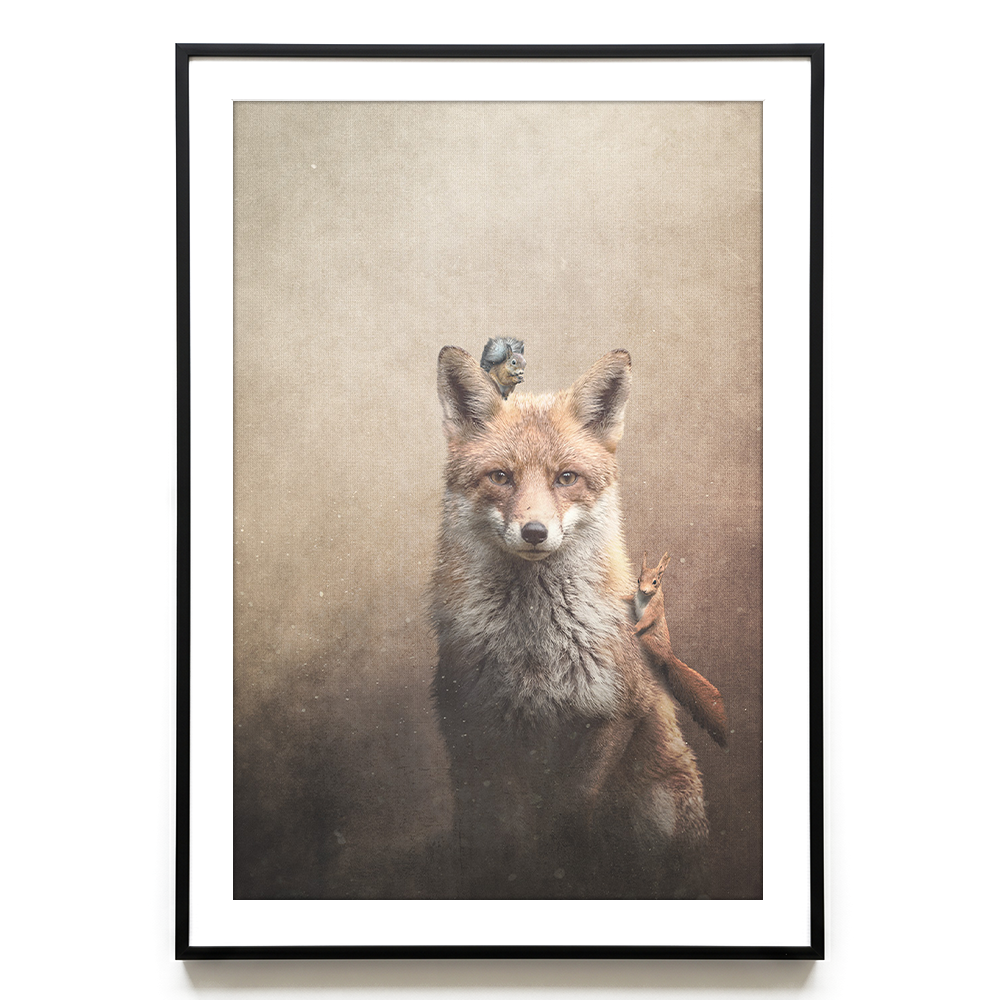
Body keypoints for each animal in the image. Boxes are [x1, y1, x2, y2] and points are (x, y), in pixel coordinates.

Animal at [431, 345, 708, 898]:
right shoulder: (473, 725)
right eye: (501, 477)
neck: (536, 654)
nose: (535, 532)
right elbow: (508, 831)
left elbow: (568, 816)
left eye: (565, 478)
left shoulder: (615, 713)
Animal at [631, 550, 730, 749]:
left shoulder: (653, 611)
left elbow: (644, 622)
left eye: (655, 581)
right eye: (638, 579)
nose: (643, 590)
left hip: (649, 641)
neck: (644, 598)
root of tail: (668, 657)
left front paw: (632, 629)